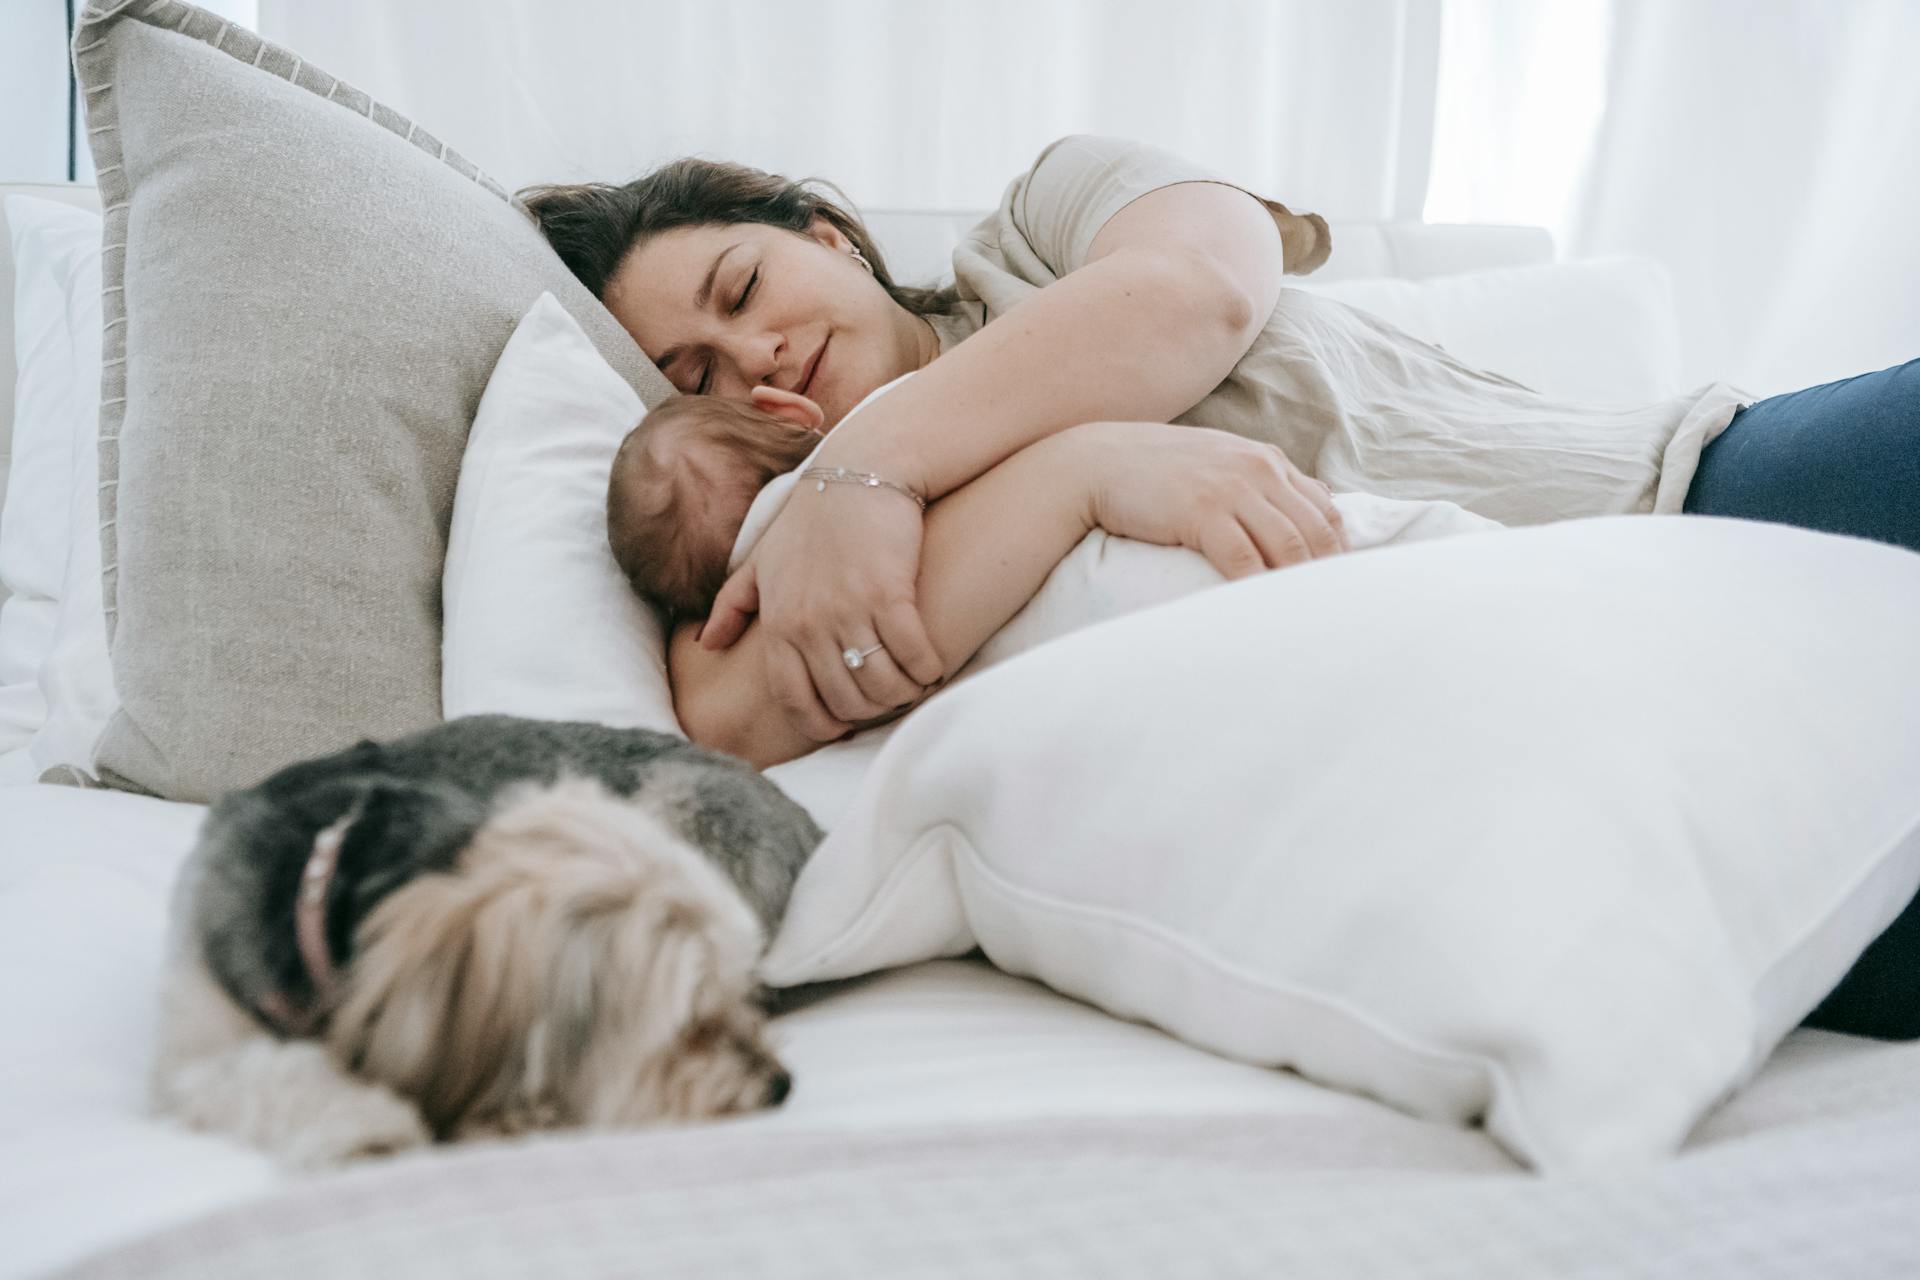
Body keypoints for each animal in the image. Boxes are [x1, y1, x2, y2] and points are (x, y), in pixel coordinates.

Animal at [142, 717, 817, 1166]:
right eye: (688, 1022)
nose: (781, 1085)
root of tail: (809, 823)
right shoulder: (194, 1039)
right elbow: (252, 1071)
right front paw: (363, 1120)